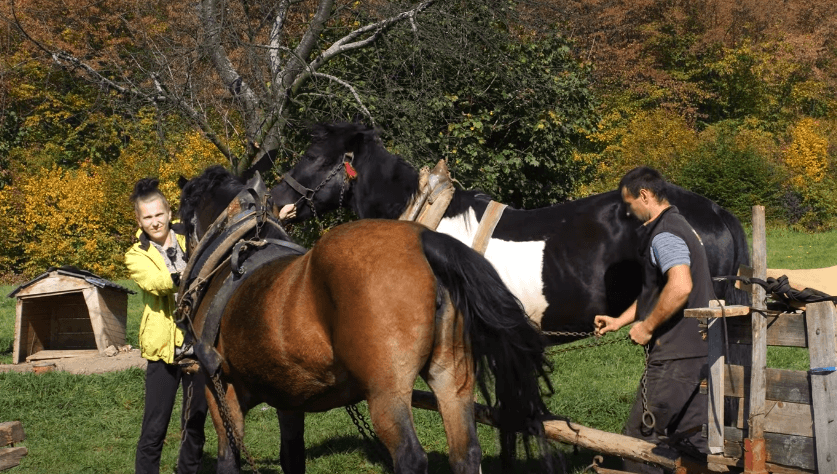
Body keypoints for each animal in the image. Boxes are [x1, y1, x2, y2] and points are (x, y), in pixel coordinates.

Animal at [176, 167, 556, 474]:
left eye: (185, 221)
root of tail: (425, 242)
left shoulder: (219, 389)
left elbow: (229, 459)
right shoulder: (288, 398)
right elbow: (292, 458)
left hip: (386, 393)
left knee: (410, 457)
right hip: (453, 379)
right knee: (466, 453)